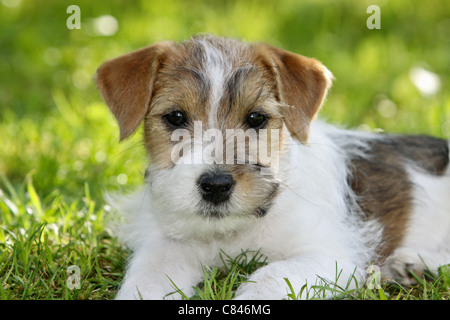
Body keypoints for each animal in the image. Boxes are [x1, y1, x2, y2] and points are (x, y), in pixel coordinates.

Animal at [96, 35, 450, 300]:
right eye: (175, 117)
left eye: (256, 118)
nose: (216, 186)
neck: (233, 231)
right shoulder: (166, 247)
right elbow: (145, 281)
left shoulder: (332, 255)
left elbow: (269, 275)